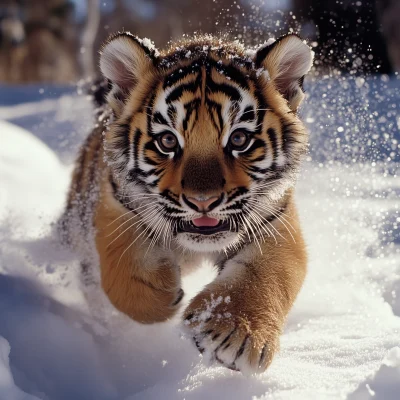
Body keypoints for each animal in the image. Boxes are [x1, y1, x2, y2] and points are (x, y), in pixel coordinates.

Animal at [61, 32, 312, 376]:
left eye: (239, 139)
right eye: (167, 141)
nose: (202, 201)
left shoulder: (276, 220)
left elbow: (269, 272)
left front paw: (234, 331)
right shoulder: (117, 205)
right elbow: (122, 264)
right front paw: (160, 295)